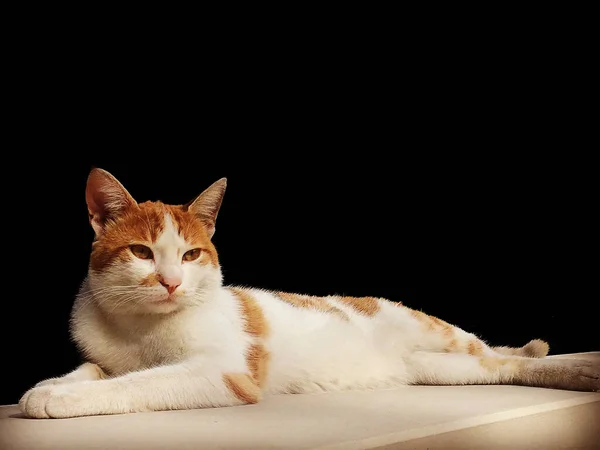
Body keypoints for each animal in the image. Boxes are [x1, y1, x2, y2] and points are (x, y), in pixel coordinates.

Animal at [18, 168, 600, 418]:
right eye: (142, 252)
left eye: (190, 255)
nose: (170, 281)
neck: (140, 329)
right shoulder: (105, 355)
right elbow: (93, 370)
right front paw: (51, 385)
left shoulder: (222, 373)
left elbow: (136, 383)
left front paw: (62, 398)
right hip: (433, 368)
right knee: (499, 364)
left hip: (442, 335)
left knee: (500, 355)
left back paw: (577, 366)